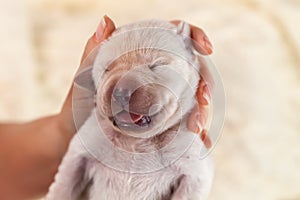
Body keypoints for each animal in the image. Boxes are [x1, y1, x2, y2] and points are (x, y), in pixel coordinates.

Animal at [45, 19, 214, 200]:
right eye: (107, 69)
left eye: (156, 65)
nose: (120, 93)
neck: (136, 141)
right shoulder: (80, 151)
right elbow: (64, 184)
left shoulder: (195, 172)